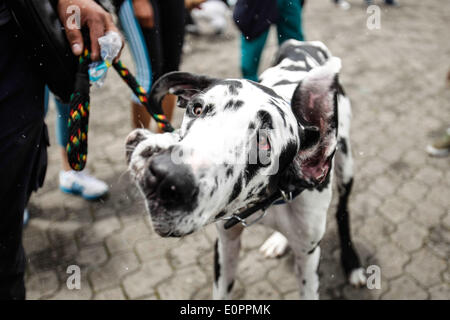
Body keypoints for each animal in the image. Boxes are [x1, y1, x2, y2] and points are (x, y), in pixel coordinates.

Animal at [125, 40, 366, 300]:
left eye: (264, 143)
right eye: (196, 108)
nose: (164, 176)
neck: (269, 198)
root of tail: (306, 43)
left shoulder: (309, 260)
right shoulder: (226, 244)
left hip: (346, 167)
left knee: (343, 212)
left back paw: (353, 264)